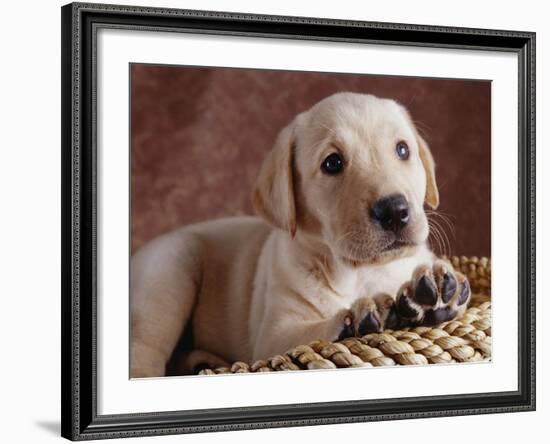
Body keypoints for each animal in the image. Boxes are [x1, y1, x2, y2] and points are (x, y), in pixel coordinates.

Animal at [132, 92, 472, 376]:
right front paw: (356, 319)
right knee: (145, 351)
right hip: (171, 270)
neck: (362, 273)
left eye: (402, 149)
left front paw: (436, 292)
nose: (394, 210)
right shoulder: (273, 336)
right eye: (332, 163)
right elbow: (309, 335)